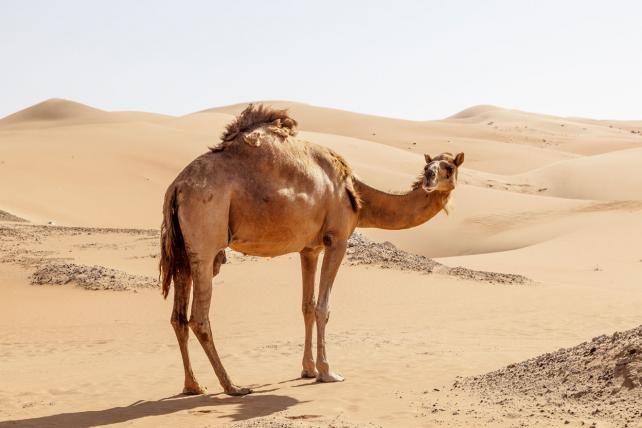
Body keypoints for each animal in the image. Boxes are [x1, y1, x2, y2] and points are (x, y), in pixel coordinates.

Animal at [159, 104, 464, 396]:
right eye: (432, 166)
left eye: (448, 167)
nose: (428, 178)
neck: (358, 195)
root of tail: (177, 186)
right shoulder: (337, 240)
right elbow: (323, 307)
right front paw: (327, 372)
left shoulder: (310, 248)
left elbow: (307, 305)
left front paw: (307, 370)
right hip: (205, 241)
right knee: (199, 318)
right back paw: (232, 386)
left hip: (184, 251)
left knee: (178, 317)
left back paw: (193, 385)